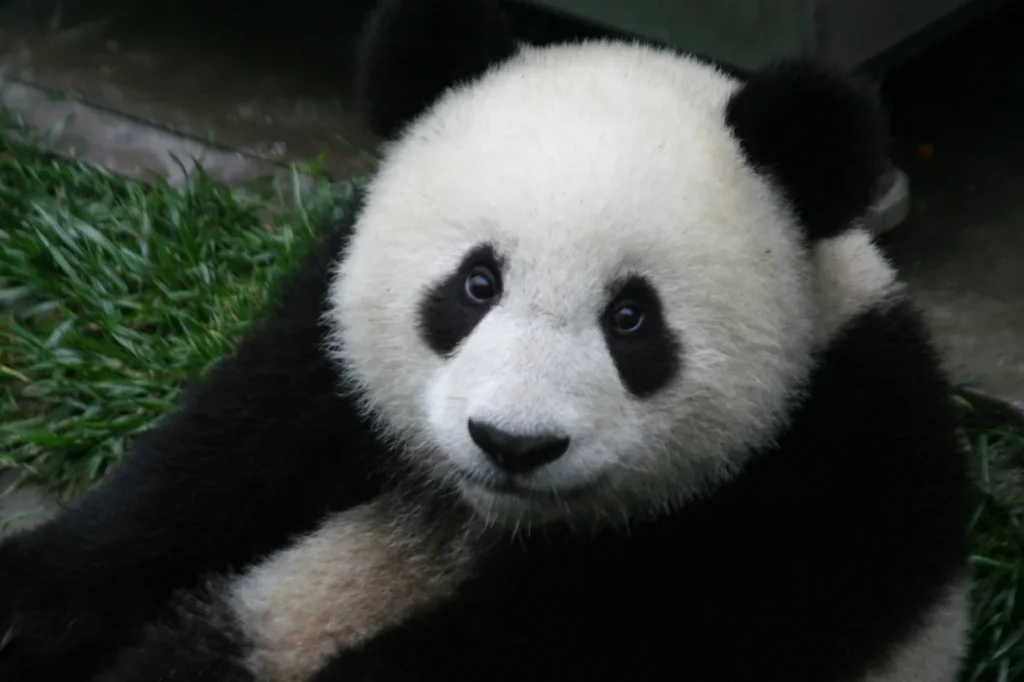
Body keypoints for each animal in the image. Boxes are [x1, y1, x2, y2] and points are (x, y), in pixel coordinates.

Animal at [0, 0, 972, 681]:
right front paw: (27, 605)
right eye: (476, 285)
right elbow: (215, 461)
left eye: (631, 319)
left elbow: (562, 649)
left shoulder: (813, 488)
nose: (514, 443)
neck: (492, 517)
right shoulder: (328, 345)